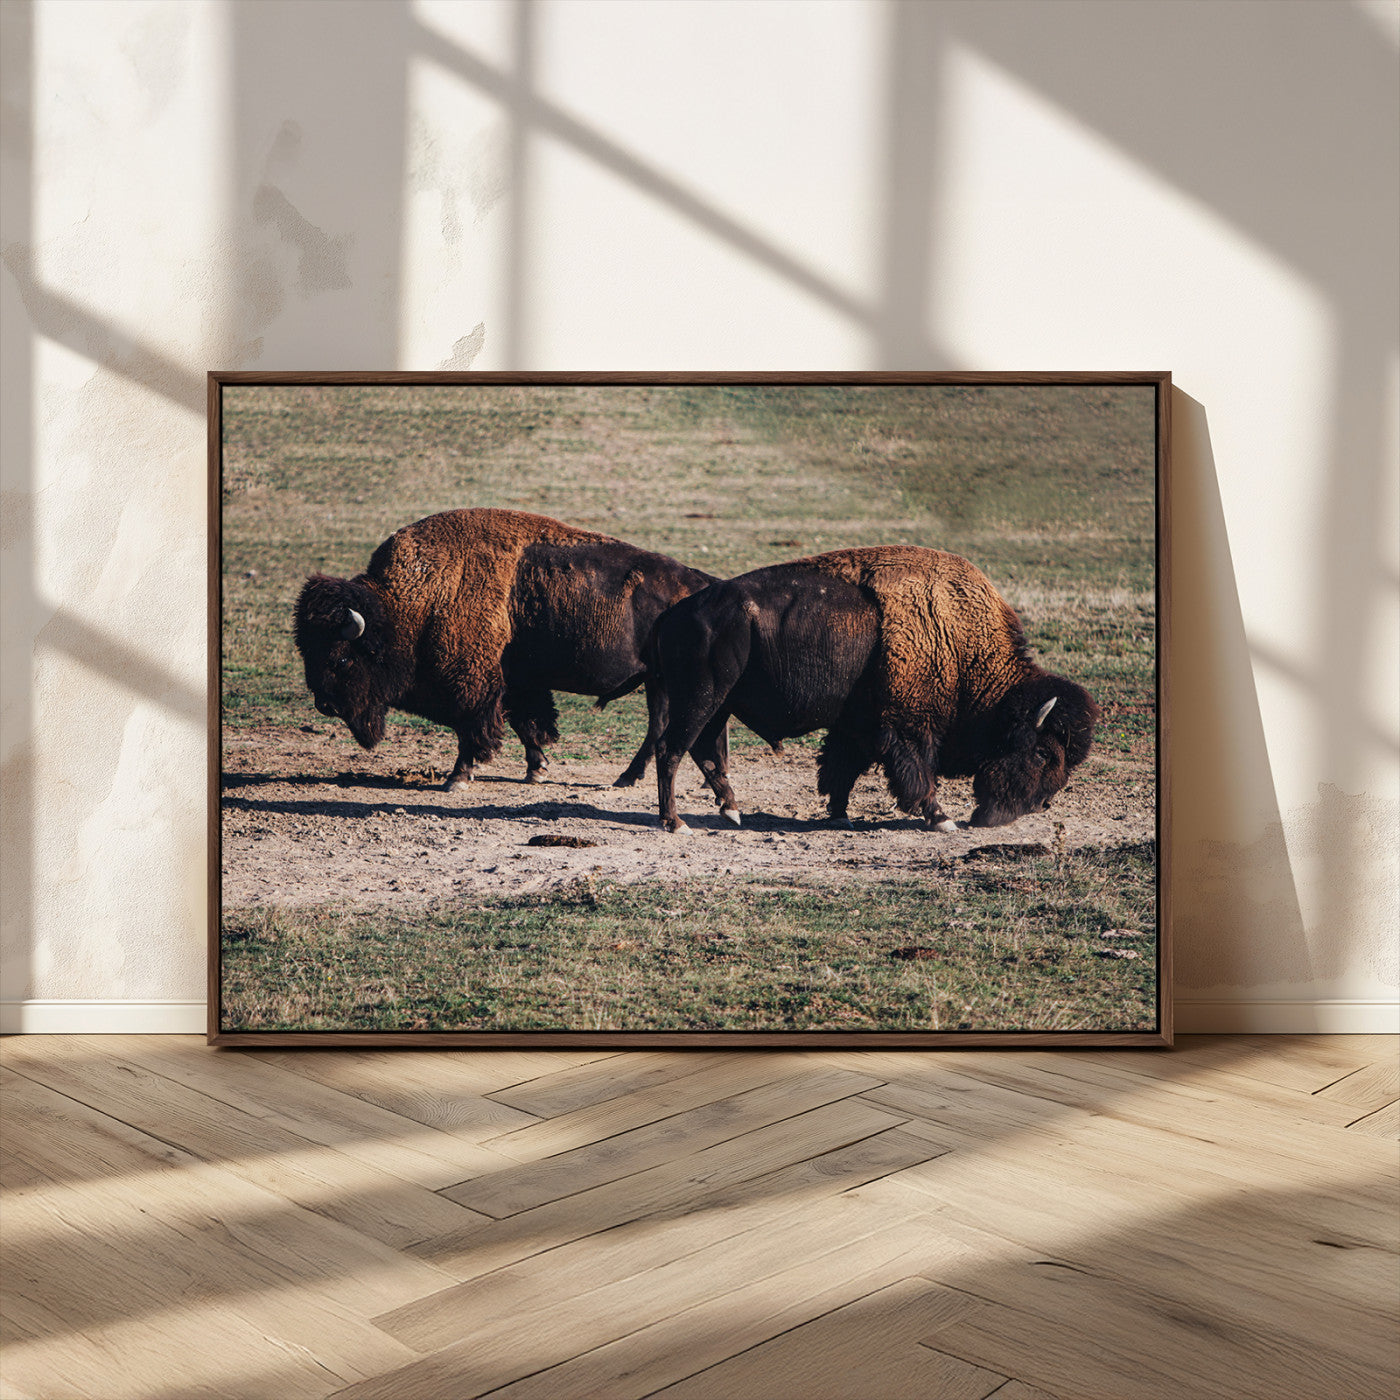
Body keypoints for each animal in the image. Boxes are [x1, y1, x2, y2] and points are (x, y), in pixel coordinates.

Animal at [294, 508, 716, 788]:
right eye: (306, 651)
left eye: (342, 658)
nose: (325, 704)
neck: (413, 603)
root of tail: (703, 584)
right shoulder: (516, 682)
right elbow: (526, 723)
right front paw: (536, 770)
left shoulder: (473, 686)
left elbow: (473, 729)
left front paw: (457, 778)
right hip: (657, 681)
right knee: (659, 725)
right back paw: (628, 777)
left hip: (662, 681)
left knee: (659, 726)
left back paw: (627, 778)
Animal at [648, 546, 1100, 833]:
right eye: (1042, 753)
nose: (1041, 805)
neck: (958, 643)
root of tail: (675, 613)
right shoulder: (907, 727)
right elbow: (917, 773)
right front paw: (942, 819)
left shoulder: (857, 726)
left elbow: (841, 768)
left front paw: (839, 815)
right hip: (701, 700)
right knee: (671, 750)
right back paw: (676, 823)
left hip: (719, 705)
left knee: (704, 751)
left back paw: (731, 811)